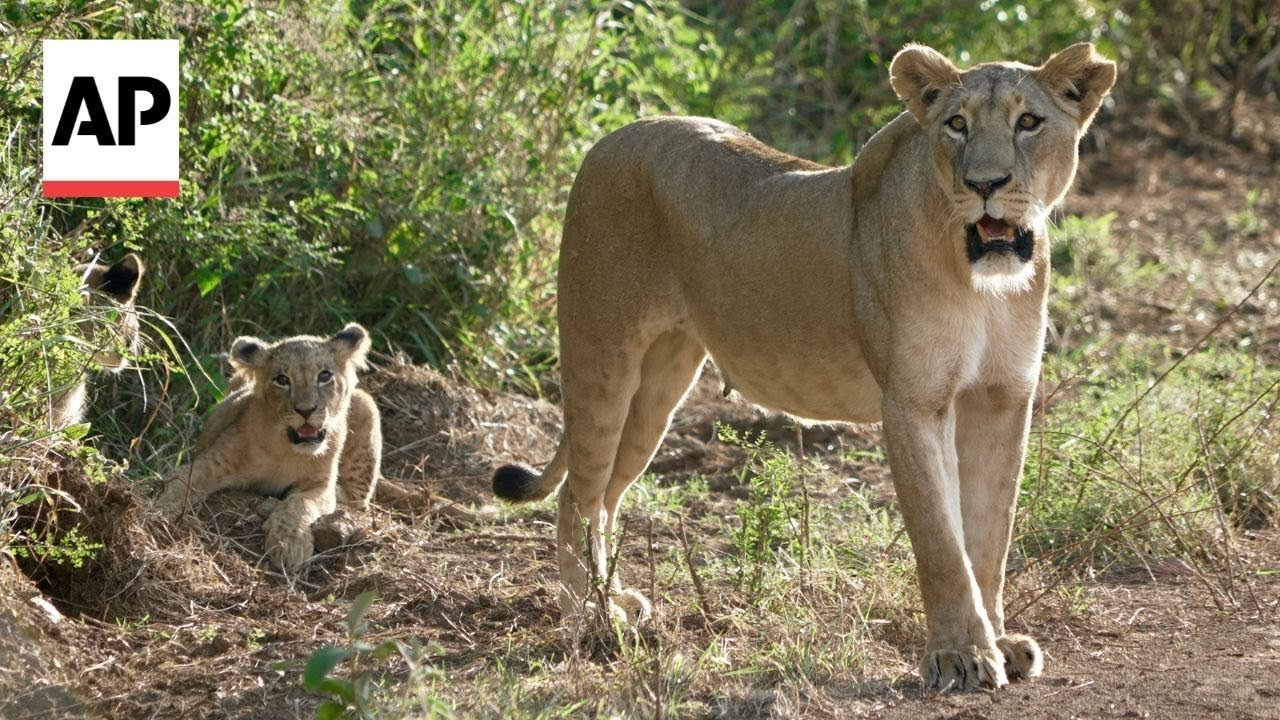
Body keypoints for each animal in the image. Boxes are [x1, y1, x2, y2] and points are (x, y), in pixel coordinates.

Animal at [155, 322, 382, 570]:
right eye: (282, 380)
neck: (285, 450)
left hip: (365, 404)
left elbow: (299, 504)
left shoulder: (320, 485)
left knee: (358, 499)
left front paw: (289, 546)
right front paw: (155, 513)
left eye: (324, 376)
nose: (306, 410)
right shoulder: (212, 462)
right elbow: (181, 483)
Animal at [492, 43, 1116, 691]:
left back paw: (615, 600)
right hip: (601, 355)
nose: (985, 183)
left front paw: (1000, 640)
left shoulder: (1002, 398)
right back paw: (592, 619)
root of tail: (609, 138)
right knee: (576, 494)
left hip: (659, 385)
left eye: (1029, 122)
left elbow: (990, 538)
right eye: (957, 124)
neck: (983, 284)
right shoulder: (914, 402)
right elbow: (943, 542)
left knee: (607, 495)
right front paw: (960, 655)